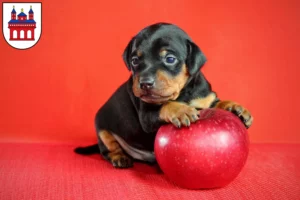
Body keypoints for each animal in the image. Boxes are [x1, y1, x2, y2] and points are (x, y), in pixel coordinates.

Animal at [74, 22, 253, 168]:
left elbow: (217, 103)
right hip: (101, 127)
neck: (182, 93)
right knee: (107, 149)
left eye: (170, 59)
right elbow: (166, 104)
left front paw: (236, 108)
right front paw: (182, 110)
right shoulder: (147, 116)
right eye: (134, 60)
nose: (145, 83)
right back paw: (119, 157)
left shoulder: (205, 98)